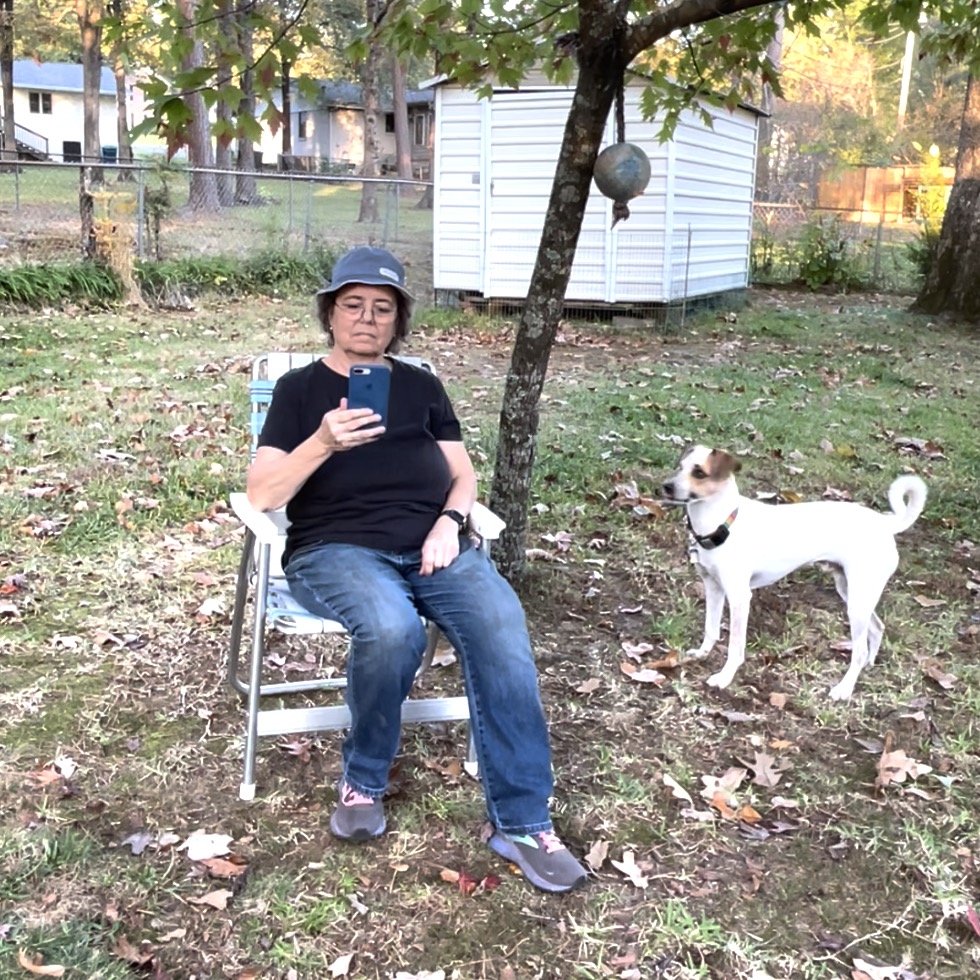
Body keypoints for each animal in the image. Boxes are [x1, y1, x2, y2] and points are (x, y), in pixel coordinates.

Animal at [660, 448, 928, 700]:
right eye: (680, 467)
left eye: (699, 473)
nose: (666, 486)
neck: (723, 523)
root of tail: (884, 524)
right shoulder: (713, 587)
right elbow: (711, 629)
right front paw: (702, 653)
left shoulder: (739, 598)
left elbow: (735, 646)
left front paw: (725, 677)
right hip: (852, 593)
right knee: (877, 628)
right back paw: (868, 666)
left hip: (858, 601)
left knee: (859, 649)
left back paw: (844, 689)